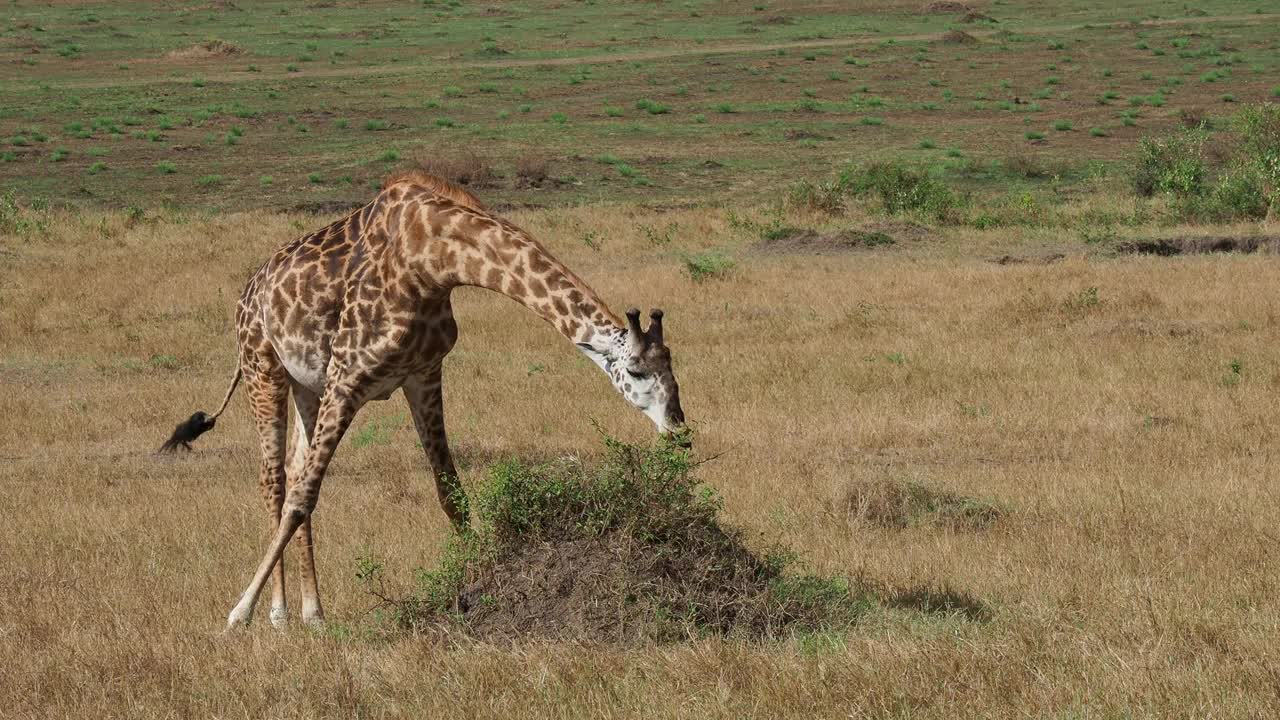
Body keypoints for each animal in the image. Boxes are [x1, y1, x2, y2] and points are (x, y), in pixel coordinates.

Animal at [162, 172, 691, 627]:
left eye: (675, 369)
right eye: (637, 371)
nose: (679, 430)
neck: (431, 260)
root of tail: (248, 292)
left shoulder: (422, 375)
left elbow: (450, 494)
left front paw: (479, 582)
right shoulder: (348, 377)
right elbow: (302, 497)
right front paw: (238, 613)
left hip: (305, 385)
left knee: (292, 469)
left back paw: (313, 613)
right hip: (262, 367)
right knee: (276, 482)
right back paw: (278, 614)